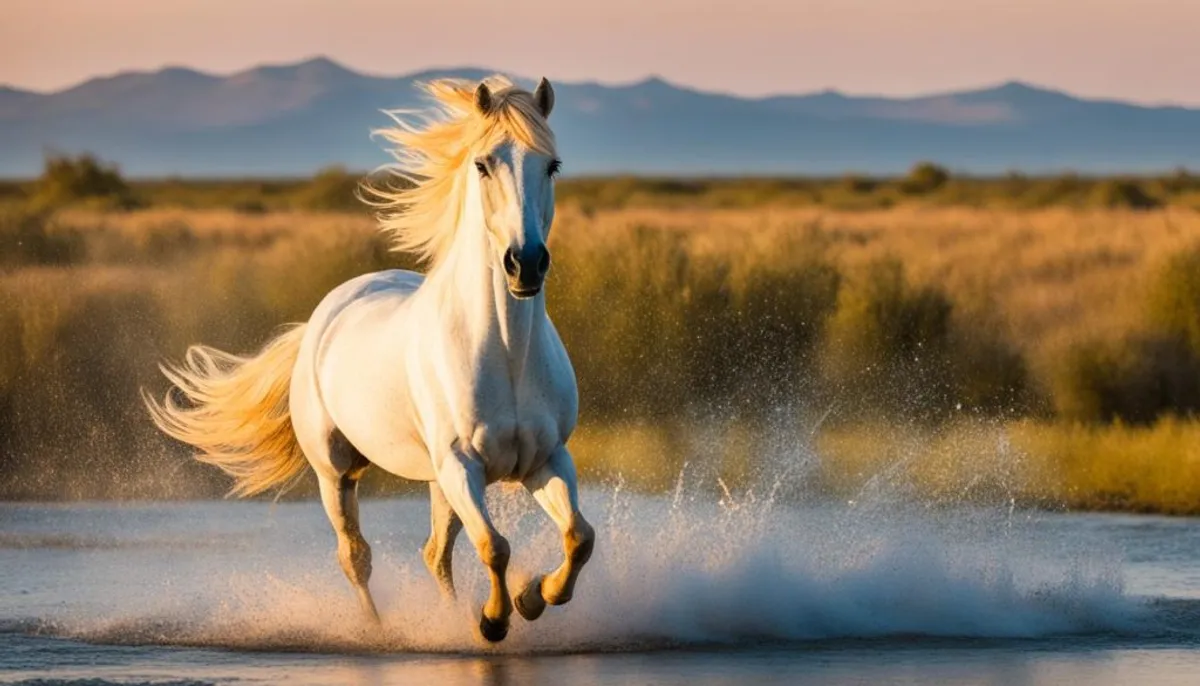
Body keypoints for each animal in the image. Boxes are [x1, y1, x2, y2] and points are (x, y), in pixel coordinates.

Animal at [145, 76, 595, 642]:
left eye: (552, 165)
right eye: (482, 164)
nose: (526, 264)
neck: (507, 353)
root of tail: (324, 316)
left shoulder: (545, 459)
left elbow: (578, 537)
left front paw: (533, 597)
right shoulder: (462, 465)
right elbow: (494, 546)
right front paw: (494, 619)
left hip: (436, 481)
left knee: (435, 554)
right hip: (337, 474)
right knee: (356, 556)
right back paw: (378, 631)